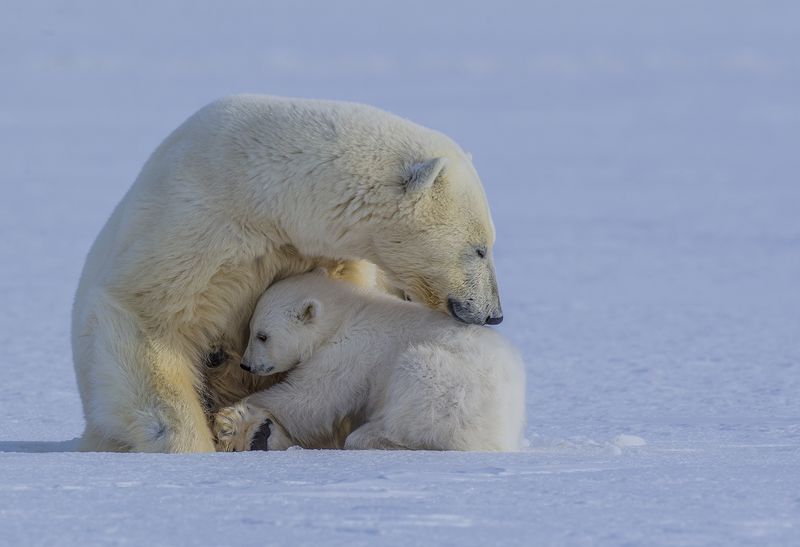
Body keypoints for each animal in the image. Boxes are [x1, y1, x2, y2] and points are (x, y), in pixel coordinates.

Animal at [212, 272, 524, 452]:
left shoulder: (349, 353)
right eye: (251, 330)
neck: (344, 314)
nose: (247, 365)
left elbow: (311, 399)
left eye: (262, 336)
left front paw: (234, 414)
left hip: (450, 385)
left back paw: (370, 438)